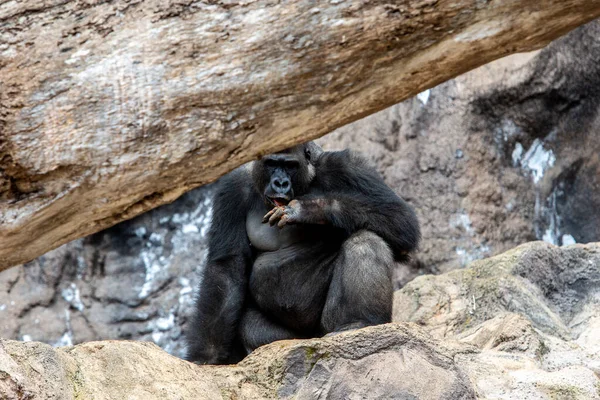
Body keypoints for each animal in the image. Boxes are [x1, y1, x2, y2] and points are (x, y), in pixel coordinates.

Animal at [185, 142, 420, 364]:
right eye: (271, 163)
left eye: (290, 165)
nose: (280, 183)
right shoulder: (232, 189)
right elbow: (227, 267)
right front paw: (207, 356)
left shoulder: (347, 166)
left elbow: (400, 219)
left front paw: (311, 209)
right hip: (289, 339)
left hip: (325, 331)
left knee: (366, 239)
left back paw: (361, 322)